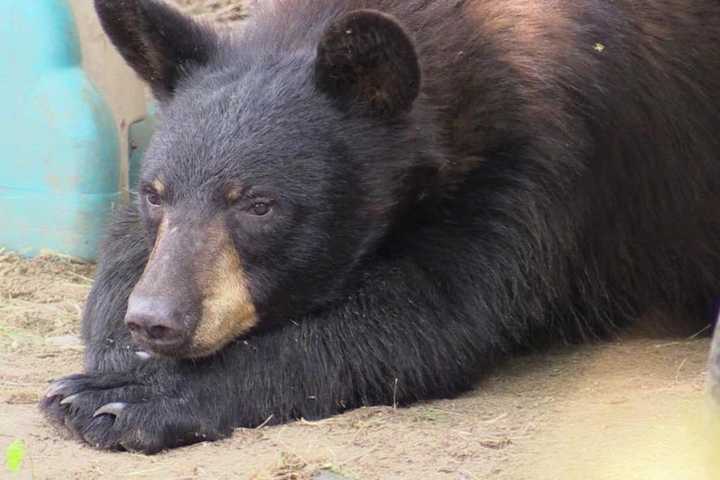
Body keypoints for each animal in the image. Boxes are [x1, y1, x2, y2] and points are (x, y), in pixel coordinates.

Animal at [40, 0, 720, 452]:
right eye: (156, 194)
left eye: (260, 204)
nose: (156, 320)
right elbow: (123, 252)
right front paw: (117, 354)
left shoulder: (548, 159)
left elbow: (428, 320)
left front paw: (119, 399)